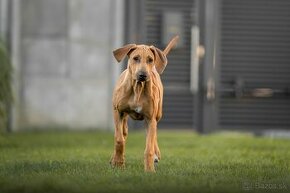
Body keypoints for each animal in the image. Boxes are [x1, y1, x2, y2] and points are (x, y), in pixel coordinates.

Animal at [111, 35, 179, 171]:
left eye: (150, 60)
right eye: (135, 58)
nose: (143, 75)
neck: (137, 88)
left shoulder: (150, 118)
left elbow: (149, 147)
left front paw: (149, 169)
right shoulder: (118, 112)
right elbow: (119, 140)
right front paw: (119, 163)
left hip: (157, 114)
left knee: (153, 134)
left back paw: (156, 155)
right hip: (124, 117)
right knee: (123, 132)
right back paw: (115, 158)